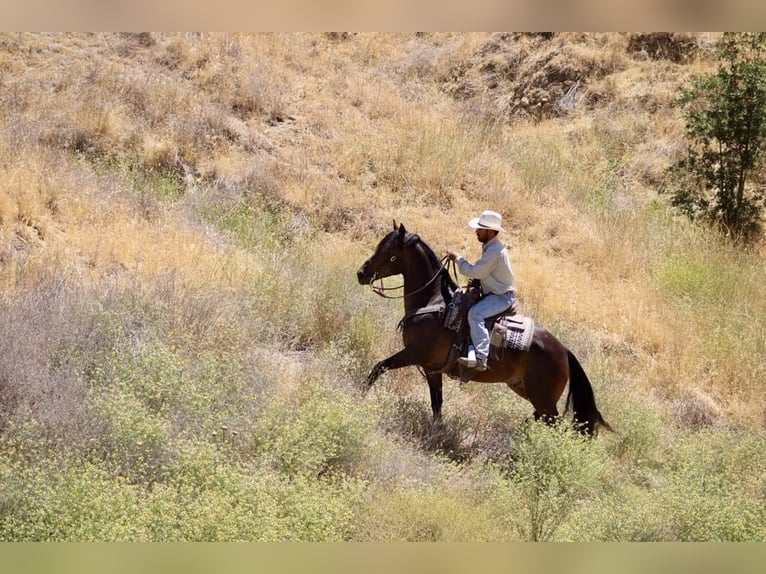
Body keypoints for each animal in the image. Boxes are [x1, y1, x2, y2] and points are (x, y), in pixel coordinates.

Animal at [356, 221, 612, 435]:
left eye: (388, 251)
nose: (361, 273)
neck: (433, 301)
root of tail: (564, 352)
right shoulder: (431, 368)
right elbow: (437, 403)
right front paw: (436, 432)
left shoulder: (413, 353)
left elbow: (379, 367)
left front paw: (359, 394)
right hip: (525, 390)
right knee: (539, 418)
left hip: (544, 399)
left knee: (555, 425)